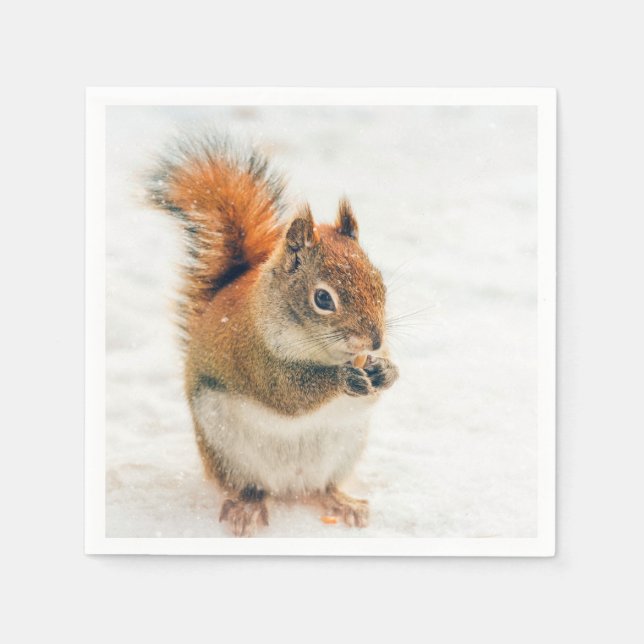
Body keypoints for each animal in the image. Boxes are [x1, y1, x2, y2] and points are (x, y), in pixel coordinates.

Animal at [147, 135, 399, 536]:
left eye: (380, 284)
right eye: (323, 299)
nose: (373, 342)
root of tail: (291, 485)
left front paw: (386, 371)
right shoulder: (253, 353)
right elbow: (288, 392)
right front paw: (343, 378)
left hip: (344, 450)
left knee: (323, 487)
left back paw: (341, 501)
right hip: (229, 452)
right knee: (250, 486)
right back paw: (248, 506)